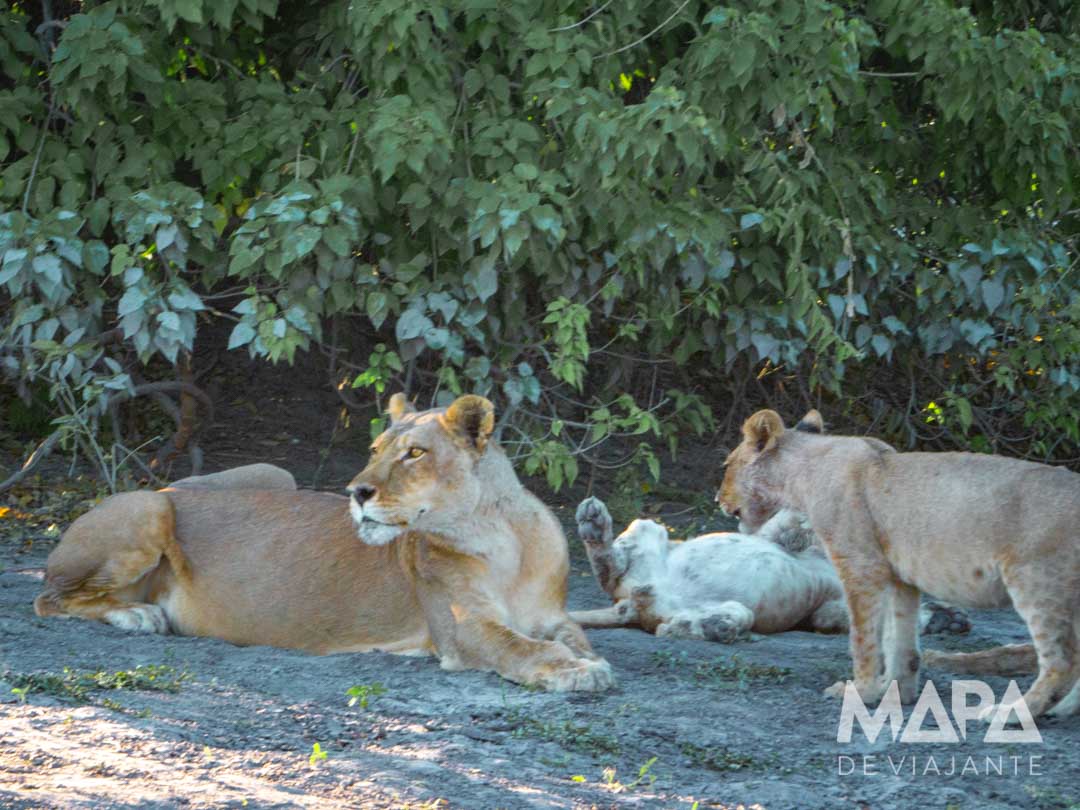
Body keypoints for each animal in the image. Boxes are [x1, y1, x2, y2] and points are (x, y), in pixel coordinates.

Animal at [33, 394, 613, 692]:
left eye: (415, 454)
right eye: (376, 449)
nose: (356, 491)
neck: (502, 537)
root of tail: (164, 487)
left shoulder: (552, 614)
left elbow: (572, 635)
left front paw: (583, 658)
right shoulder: (463, 628)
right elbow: (520, 647)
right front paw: (576, 671)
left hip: (274, 474)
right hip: (151, 507)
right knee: (48, 597)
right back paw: (138, 615)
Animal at [718, 408, 1080, 719]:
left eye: (727, 465)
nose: (716, 499)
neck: (802, 473)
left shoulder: (861, 565)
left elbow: (864, 638)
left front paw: (861, 692)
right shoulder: (899, 576)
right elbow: (899, 639)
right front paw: (894, 691)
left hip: (1035, 580)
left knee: (1062, 662)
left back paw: (1012, 712)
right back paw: (1062, 710)